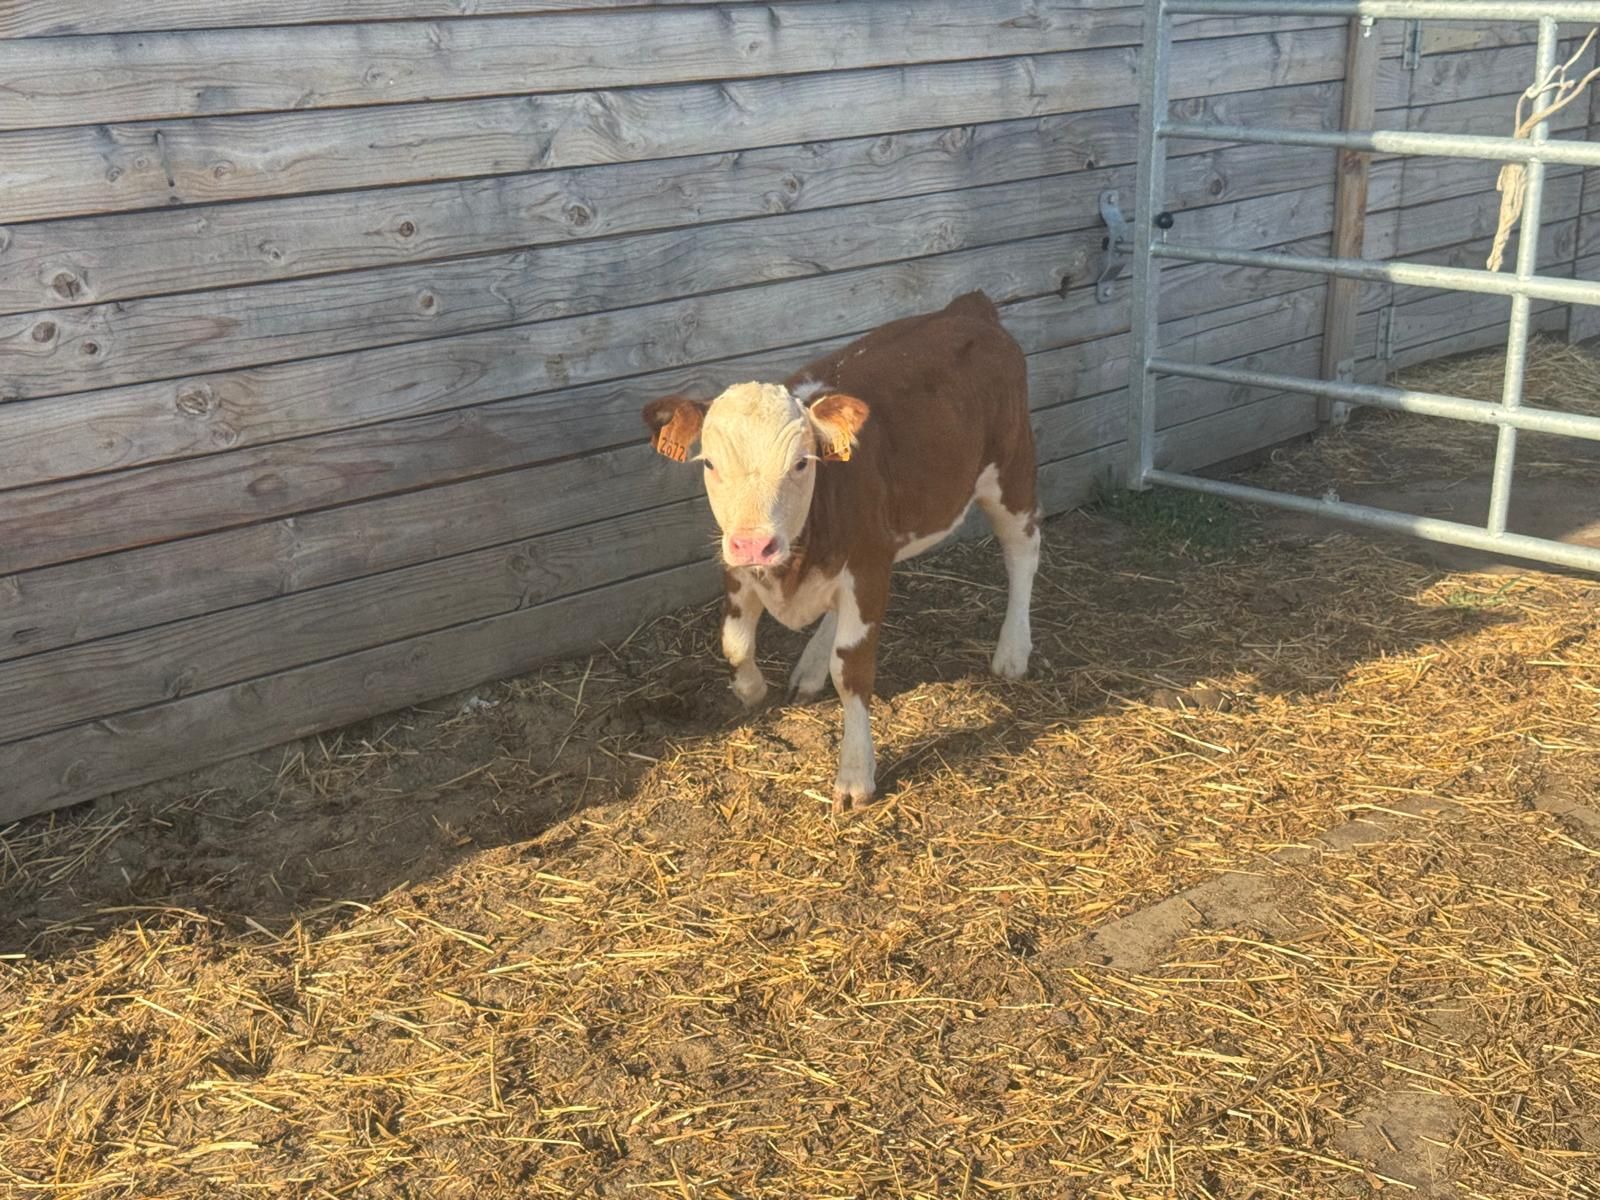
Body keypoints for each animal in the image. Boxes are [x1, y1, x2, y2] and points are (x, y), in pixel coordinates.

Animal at [641, 291, 1039, 812]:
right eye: (708, 462)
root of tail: (967, 308)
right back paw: (809, 668)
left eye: (801, 463)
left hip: (1011, 471)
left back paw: (1013, 650)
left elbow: (850, 669)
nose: (755, 543)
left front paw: (855, 775)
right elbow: (734, 643)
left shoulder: (867, 565)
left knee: (1023, 552)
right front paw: (752, 691)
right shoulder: (739, 566)